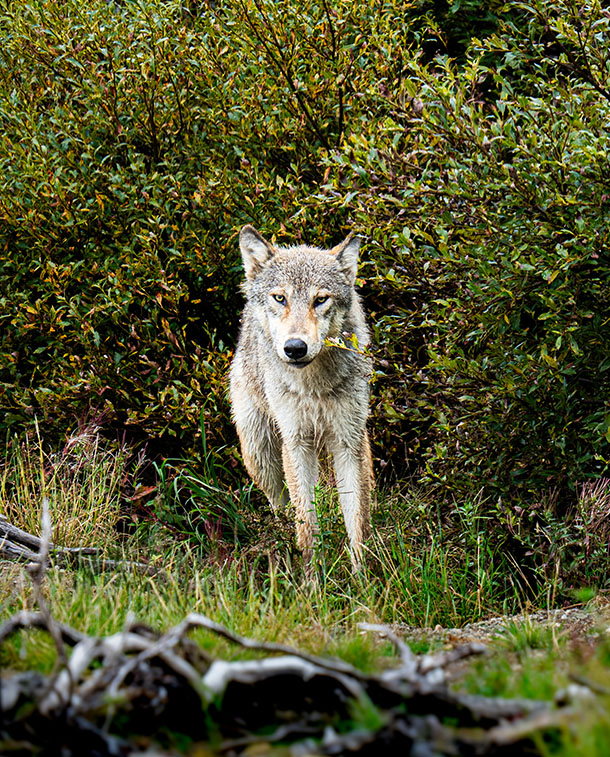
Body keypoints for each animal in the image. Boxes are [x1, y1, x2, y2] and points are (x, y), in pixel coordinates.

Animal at [229, 225, 373, 570]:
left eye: (320, 299)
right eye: (280, 298)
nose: (295, 348)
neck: (314, 386)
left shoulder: (348, 443)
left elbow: (356, 524)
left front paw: (363, 579)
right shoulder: (296, 443)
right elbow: (306, 525)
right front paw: (311, 578)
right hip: (260, 456)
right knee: (282, 508)